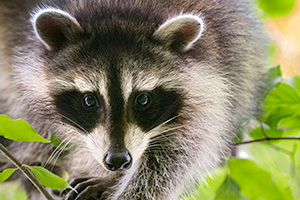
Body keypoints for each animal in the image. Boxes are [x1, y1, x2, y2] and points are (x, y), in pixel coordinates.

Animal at [0, 0, 268, 199]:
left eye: (143, 100)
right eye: (89, 101)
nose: (117, 161)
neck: (120, 9)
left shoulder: (212, 81)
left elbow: (176, 156)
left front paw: (115, 183)